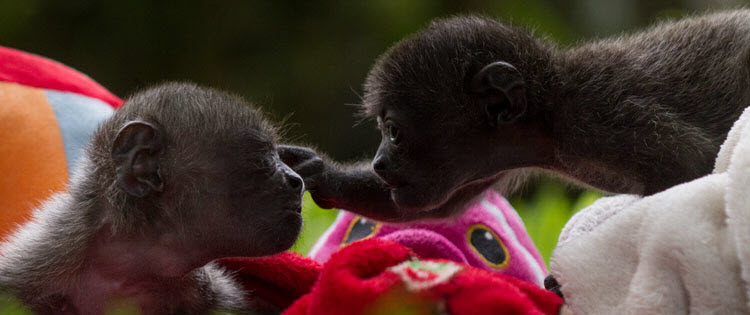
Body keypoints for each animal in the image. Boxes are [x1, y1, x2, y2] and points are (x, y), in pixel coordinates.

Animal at [282, 10, 750, 222]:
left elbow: (691, 167)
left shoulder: (605, 122)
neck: (550, 114)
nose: (380, 163)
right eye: (382, 132)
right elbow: (424, 209)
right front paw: (317, 171)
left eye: (394, 132)